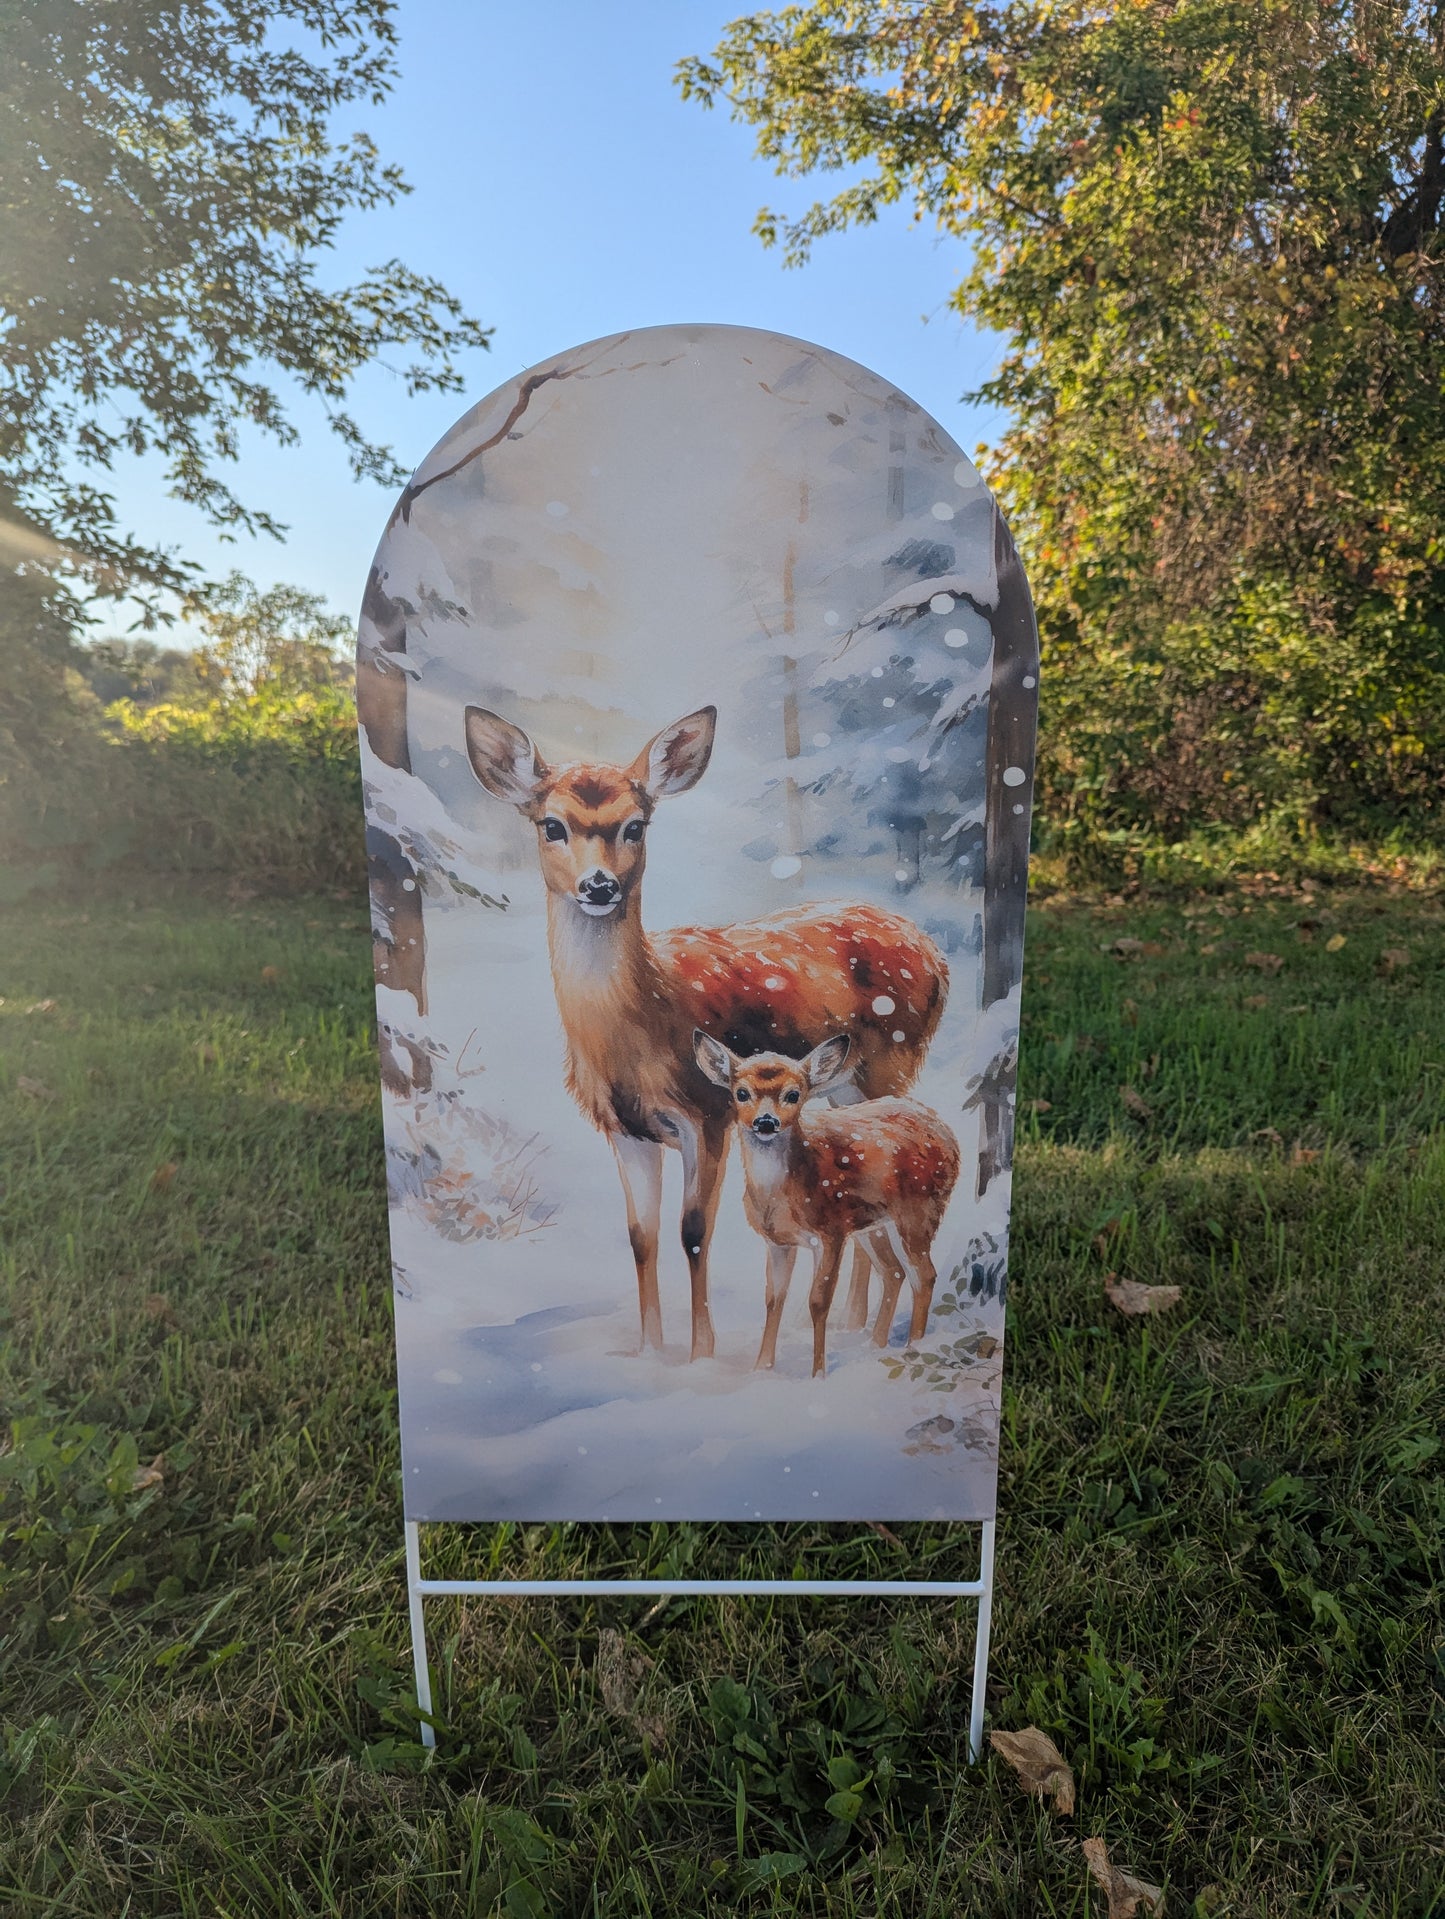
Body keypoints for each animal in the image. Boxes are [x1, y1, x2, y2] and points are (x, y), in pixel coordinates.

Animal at [693, 1032, 961, 1376]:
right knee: (893, 1272)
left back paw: (914, 1347)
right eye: (742, 1093)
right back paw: (875, 1346)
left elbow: (818, 1302)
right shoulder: (778, 1241)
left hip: (919, 1211)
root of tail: (948, 1134)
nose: (765, 1122)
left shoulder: (831, 1232)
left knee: (924, 1275)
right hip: (873, 1224)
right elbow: (774, 1299)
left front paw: (817, 1373)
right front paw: (762, 1367)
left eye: (793, 1094)